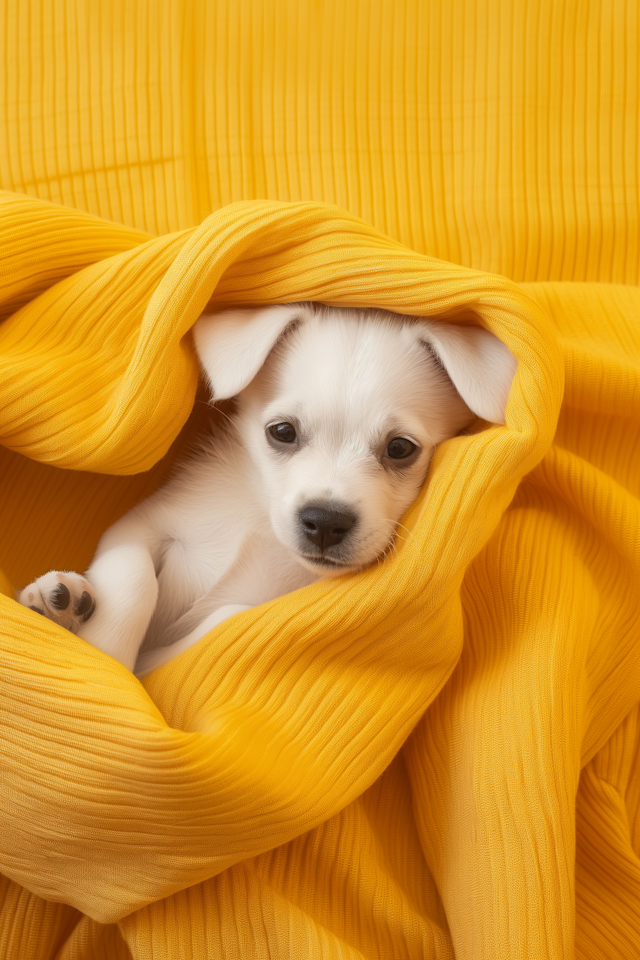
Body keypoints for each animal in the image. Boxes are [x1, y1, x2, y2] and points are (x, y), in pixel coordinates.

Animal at [17, 302, 516, 676]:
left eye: (399, 448)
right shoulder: (138, 527)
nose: (325, 522)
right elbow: (134, 581)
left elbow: (223, 617)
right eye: (282, 432)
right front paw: (105, 651)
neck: (262, 528)